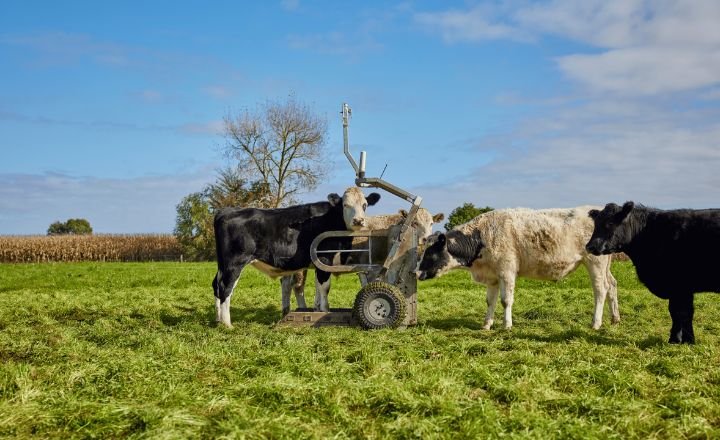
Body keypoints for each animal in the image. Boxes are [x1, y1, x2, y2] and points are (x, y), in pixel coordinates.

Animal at [211, 187, 380, 328]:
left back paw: (218, 320)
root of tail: (226, 211)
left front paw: (317, 309)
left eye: (365, 205)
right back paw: (227, 324)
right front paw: (325, 311)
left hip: (222, 265)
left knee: (216, 286)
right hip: (234, 263)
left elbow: (318, 287)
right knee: (225, 287)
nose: (358, 220)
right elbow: (325, 287)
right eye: (345, 205)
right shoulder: (324, 258)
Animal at [416, 208, 620, 328]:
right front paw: (487, 324)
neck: (482, 235)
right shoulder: (492, 276)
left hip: (595, 263)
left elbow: (506, 300)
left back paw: (596, 323)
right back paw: (615, 318)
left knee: (601, 290)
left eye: (431, 254)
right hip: (605, 266)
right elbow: (490, 301)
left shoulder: (506, 271)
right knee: (612, 285)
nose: (416, 272)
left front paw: (506, 325)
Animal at [584, 202, 720, 344]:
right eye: (595, 224)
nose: (590, 246)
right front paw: (680, 340)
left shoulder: (680, 286)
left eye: (610, 223)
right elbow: (678, 312)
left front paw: (682, 340)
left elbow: (682, 313)